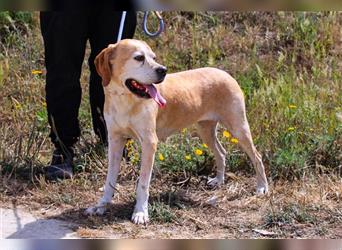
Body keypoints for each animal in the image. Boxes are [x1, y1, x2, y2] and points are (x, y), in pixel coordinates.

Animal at [84, 39, 268, 225]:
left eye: (154, 57)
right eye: (139, 57)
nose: (163, 70)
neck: (124, 100)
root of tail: (226, 73)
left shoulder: (149, 143)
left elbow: (143, 184)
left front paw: (141, 212)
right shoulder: (115, 140)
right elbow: (109, 180)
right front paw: (102, 205)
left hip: (239, 128)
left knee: (257, 156)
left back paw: (262, 187)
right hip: (205, 130)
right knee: (221, 152)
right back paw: (219, 181)